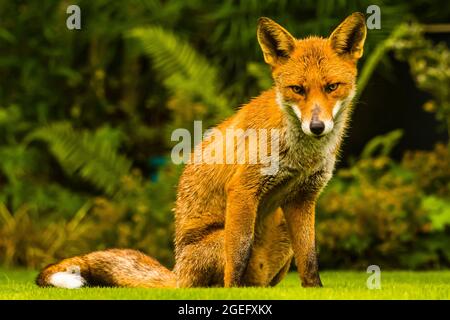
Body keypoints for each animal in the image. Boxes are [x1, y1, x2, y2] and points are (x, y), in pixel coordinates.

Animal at [35, 12, 366, 288]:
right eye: (297, 90)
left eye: (332, 87)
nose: (317, 126)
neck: (301, 154)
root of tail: (178, 274)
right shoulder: (243, 190)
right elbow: (238, 256)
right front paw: (233, 292)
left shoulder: (303, 198)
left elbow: (309, 258)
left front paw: (315, 291)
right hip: (221, 239)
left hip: (280, 230)